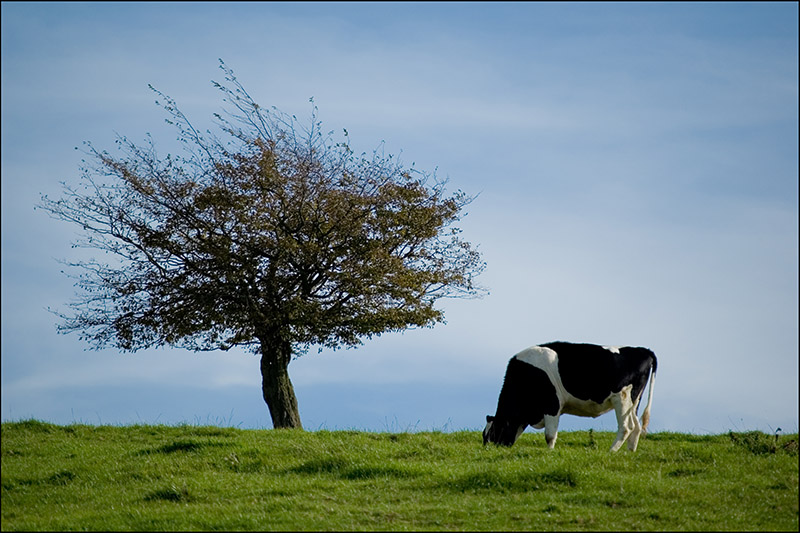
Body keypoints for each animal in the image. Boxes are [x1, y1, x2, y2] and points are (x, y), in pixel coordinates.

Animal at [482, 342, 656, 450]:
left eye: (493, 433)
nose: (491, 449)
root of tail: (643, 350)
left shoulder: (552, 404)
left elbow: (550, 435)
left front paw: (549, 453)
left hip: (622, 397)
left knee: (627, 427)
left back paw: (611, 451)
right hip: (634, 400)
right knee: (637, 426)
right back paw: (629, 452)